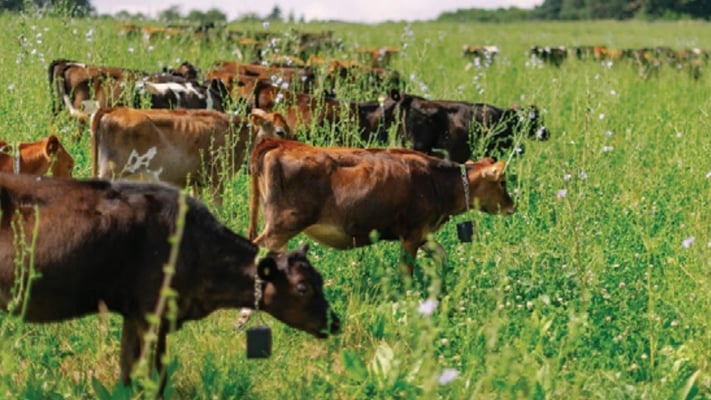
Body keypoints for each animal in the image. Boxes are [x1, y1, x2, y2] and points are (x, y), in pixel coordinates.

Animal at [0, 173, 342, 396]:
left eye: (320, 280)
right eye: (302, 287)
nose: (334, 322)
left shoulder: (138, 315)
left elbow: (134, 374)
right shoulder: (151, 314)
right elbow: (148, 378)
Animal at [248, 138, 516, 276]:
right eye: (502, 181)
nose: (512, 206)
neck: (437, 182)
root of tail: (280, 143)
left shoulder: (423, 233)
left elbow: (441, 255)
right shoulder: (412, 234)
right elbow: (406, 270)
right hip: (283, 224)